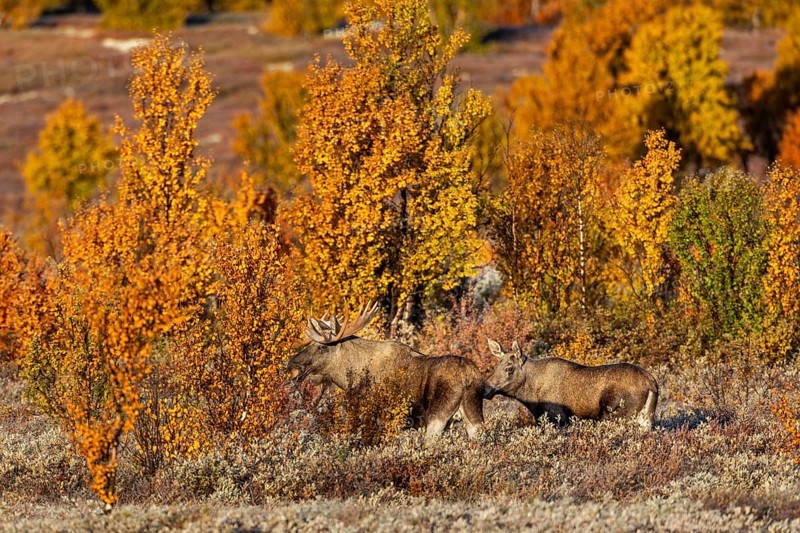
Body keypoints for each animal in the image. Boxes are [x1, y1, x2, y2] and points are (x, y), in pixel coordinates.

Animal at [286, 303, 485, 438]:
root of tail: (468, 378)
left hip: (437, 416)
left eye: (322, 347)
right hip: (473, 416)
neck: (352, 374)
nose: (292, 365)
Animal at [483, 339, 658, 429]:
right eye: (495, 366)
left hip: (614, 414)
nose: (485, 388)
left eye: (509, 368)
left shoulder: (558, 418)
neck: (530, 395)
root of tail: (652, 384)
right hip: (645, 418)